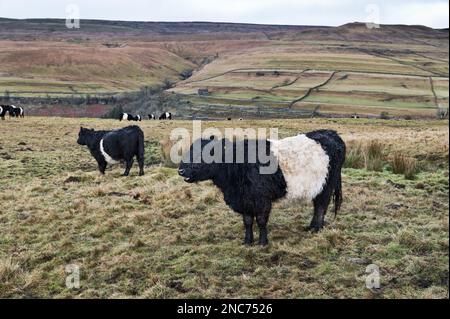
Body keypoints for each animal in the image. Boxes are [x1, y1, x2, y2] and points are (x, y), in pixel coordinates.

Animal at [178, 130, 346, 248]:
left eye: (204, 154)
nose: (181, 170)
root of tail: (331, 133)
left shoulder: (262, 200)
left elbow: (261, 221)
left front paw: (263, 242)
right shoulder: (245, 200)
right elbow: (247, 221)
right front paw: (247, 241)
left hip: (326, 185)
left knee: (321, 206)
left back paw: (316, 228)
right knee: (318, 205)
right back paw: (311, 226)